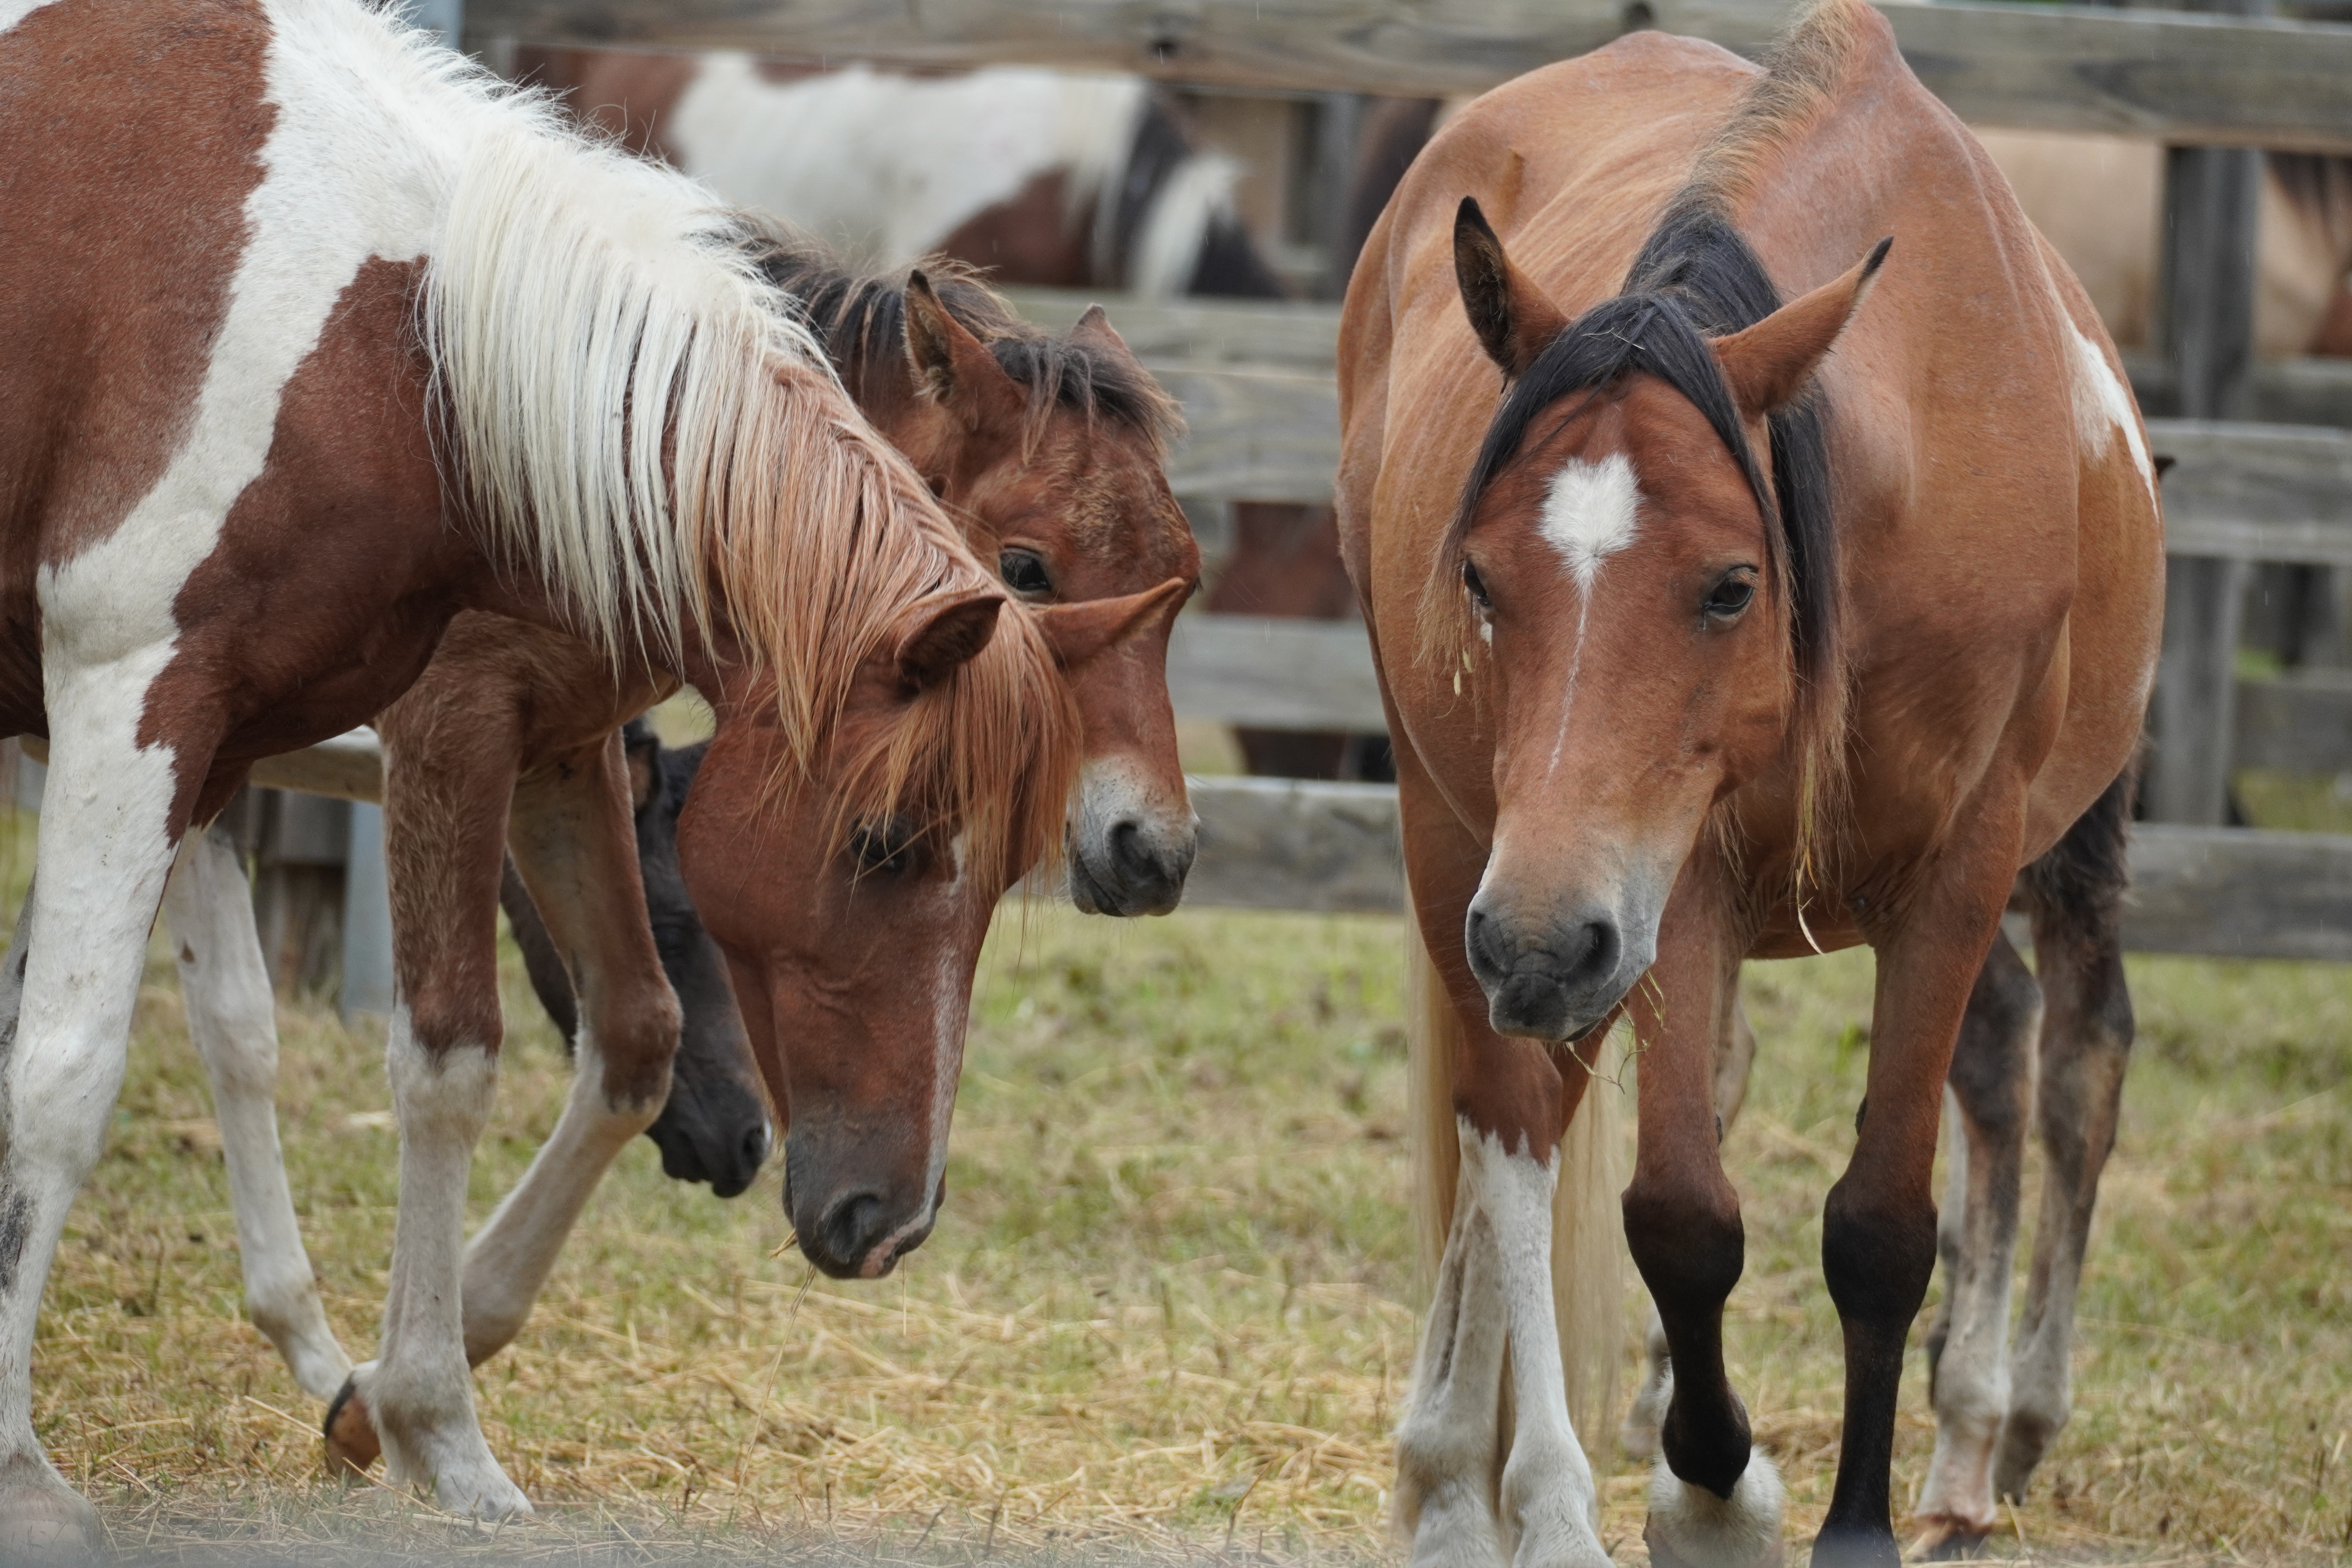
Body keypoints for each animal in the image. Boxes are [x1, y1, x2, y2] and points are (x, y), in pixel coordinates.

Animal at [0, 0, 1101, 1542]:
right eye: (884, 843)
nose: (893, 1220)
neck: (398, 340)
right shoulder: (144, 697)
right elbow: (71, 1070)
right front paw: (24, 1466)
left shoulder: (257, 739)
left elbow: (241, 1029)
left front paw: (416, 1414)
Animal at [1345, 3, 2164, 1568]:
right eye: (1479, 575)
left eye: (1729, 585)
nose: (1534, 938)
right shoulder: (1657, 873)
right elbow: (1675, 1208)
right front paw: (1712, 1491)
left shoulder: (1957, 866)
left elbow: (1881, 1221)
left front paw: (1846, 1519)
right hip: (1479, 840)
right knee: (1515, 1117)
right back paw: (1473, 1483)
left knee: (2070, 1057)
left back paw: (1996, 1420)